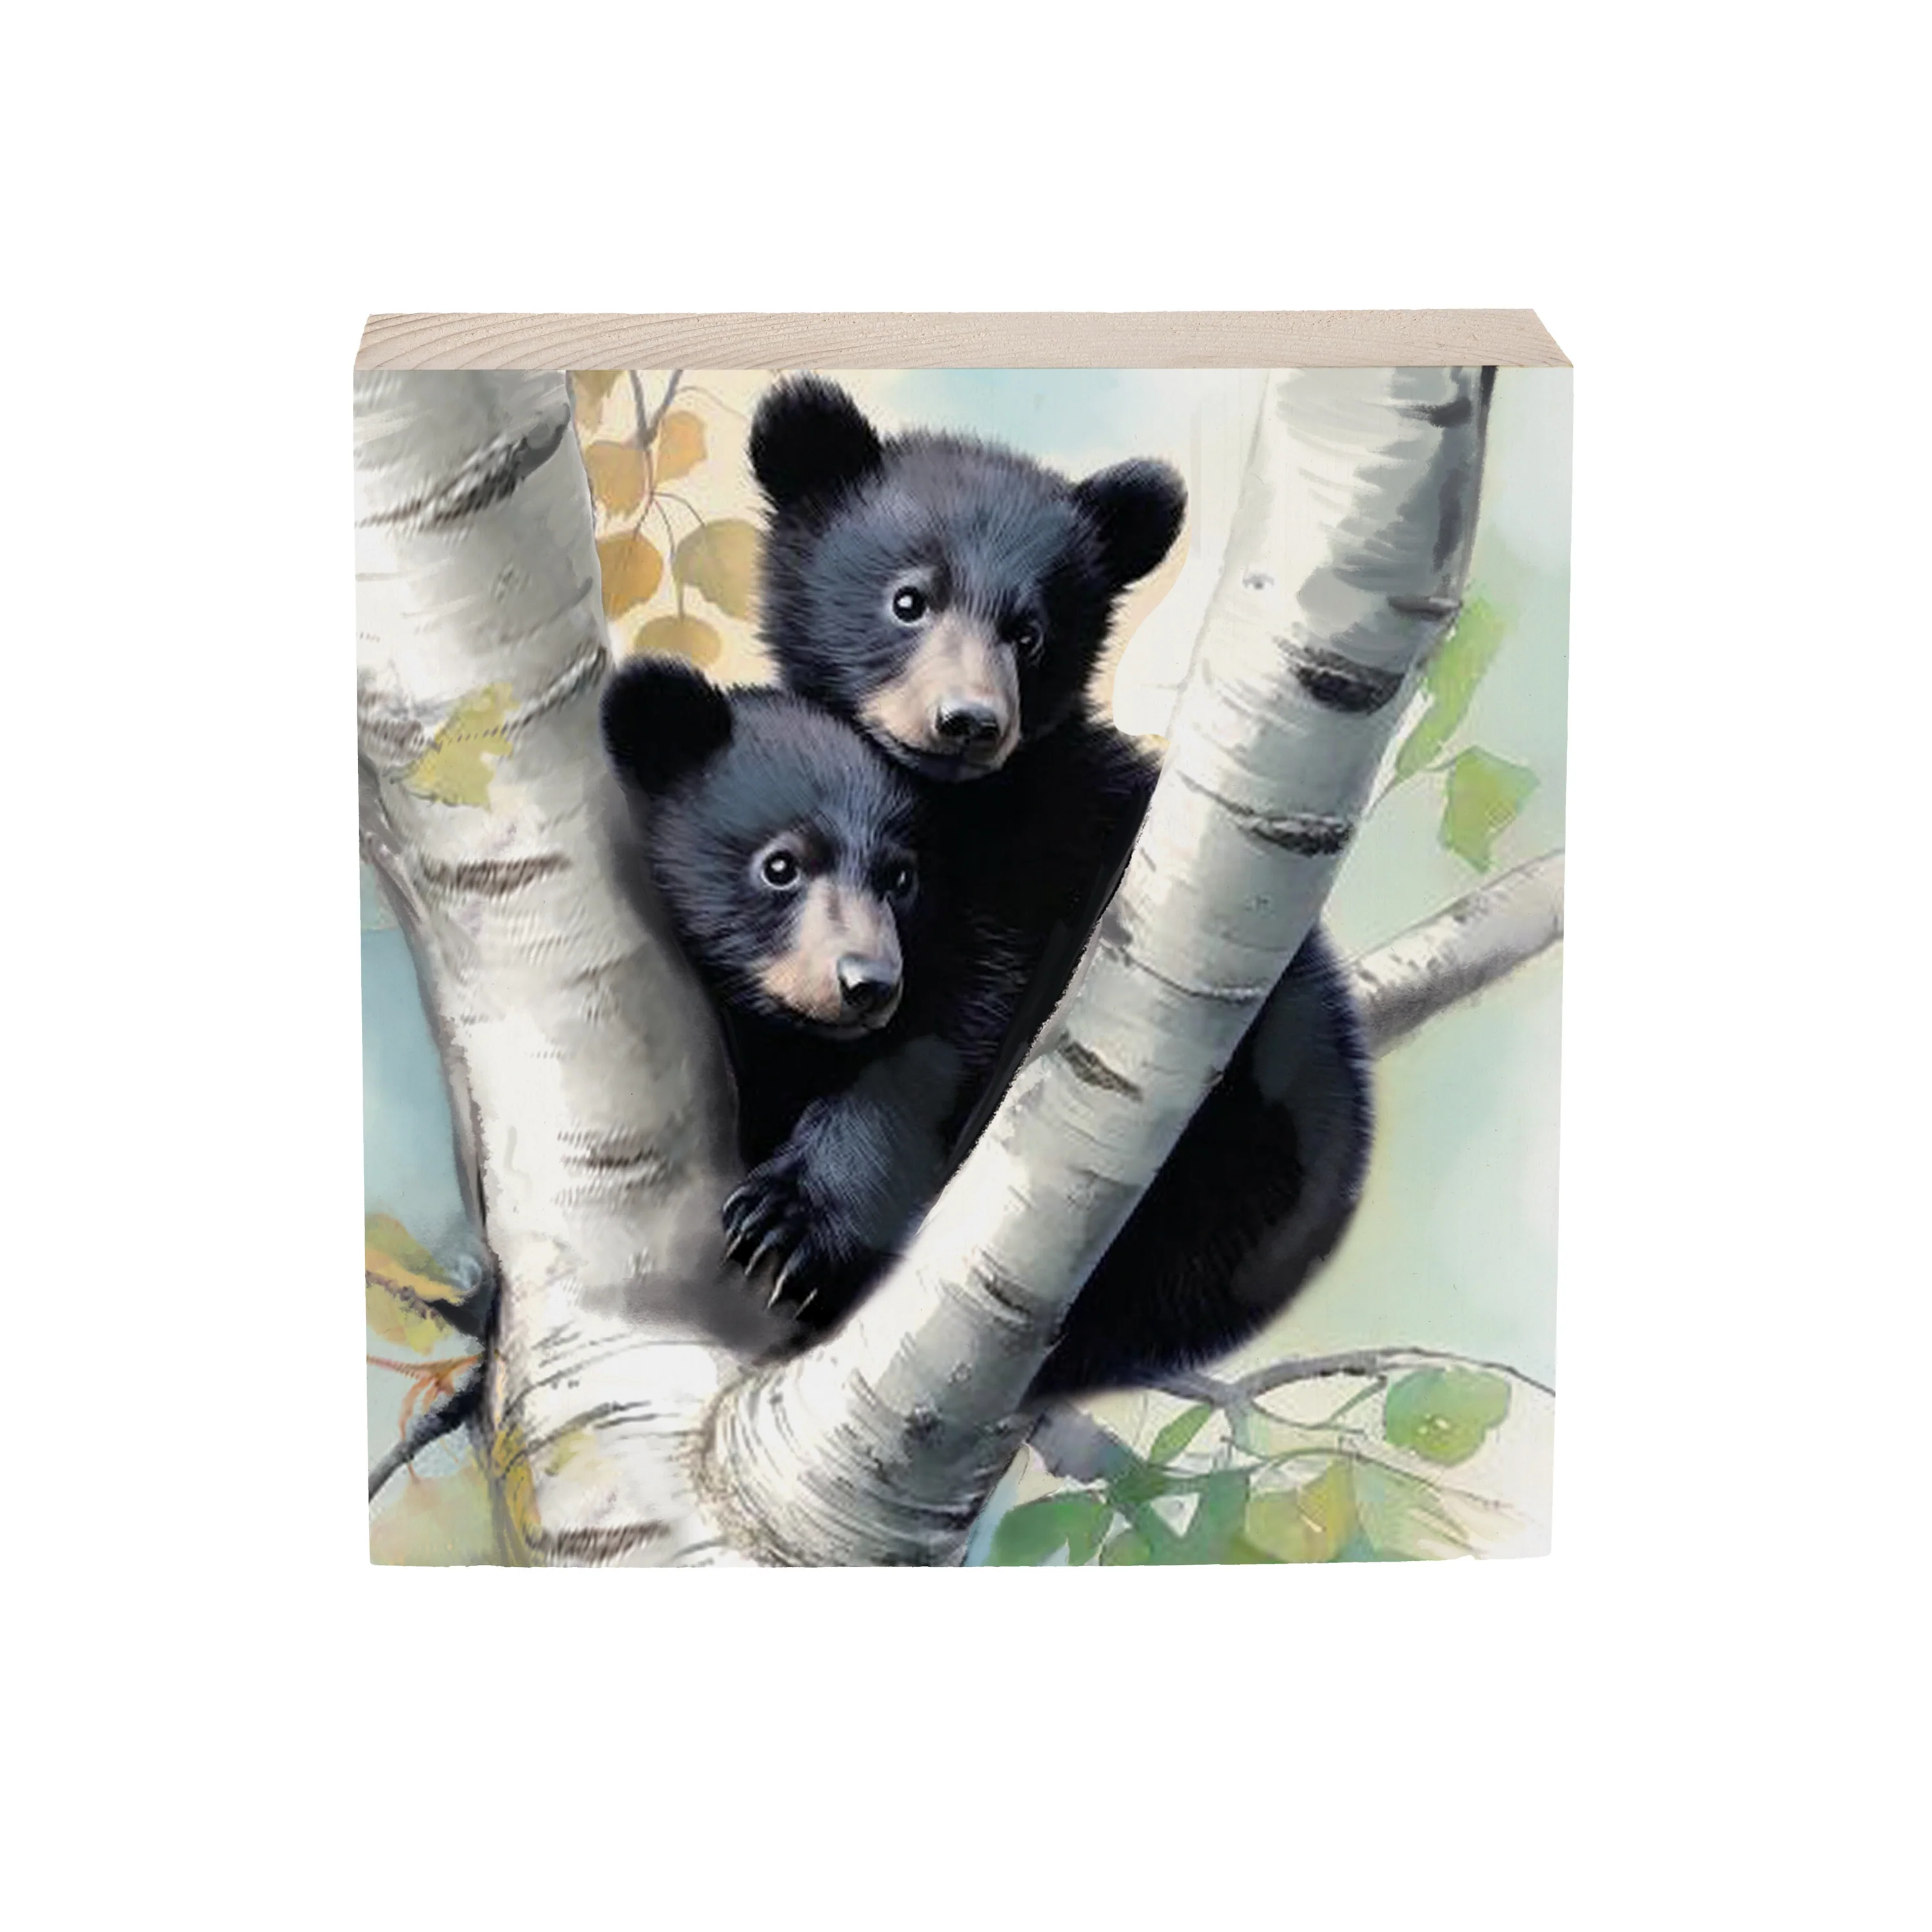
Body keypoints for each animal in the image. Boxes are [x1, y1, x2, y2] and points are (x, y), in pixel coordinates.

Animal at [742, 377, 1375, 1400]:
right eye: (909, 599)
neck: (959, 809)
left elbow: (950, 1030)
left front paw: (795, 1219)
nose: (968, 721)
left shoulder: (1049, 871)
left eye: (1029, 632)